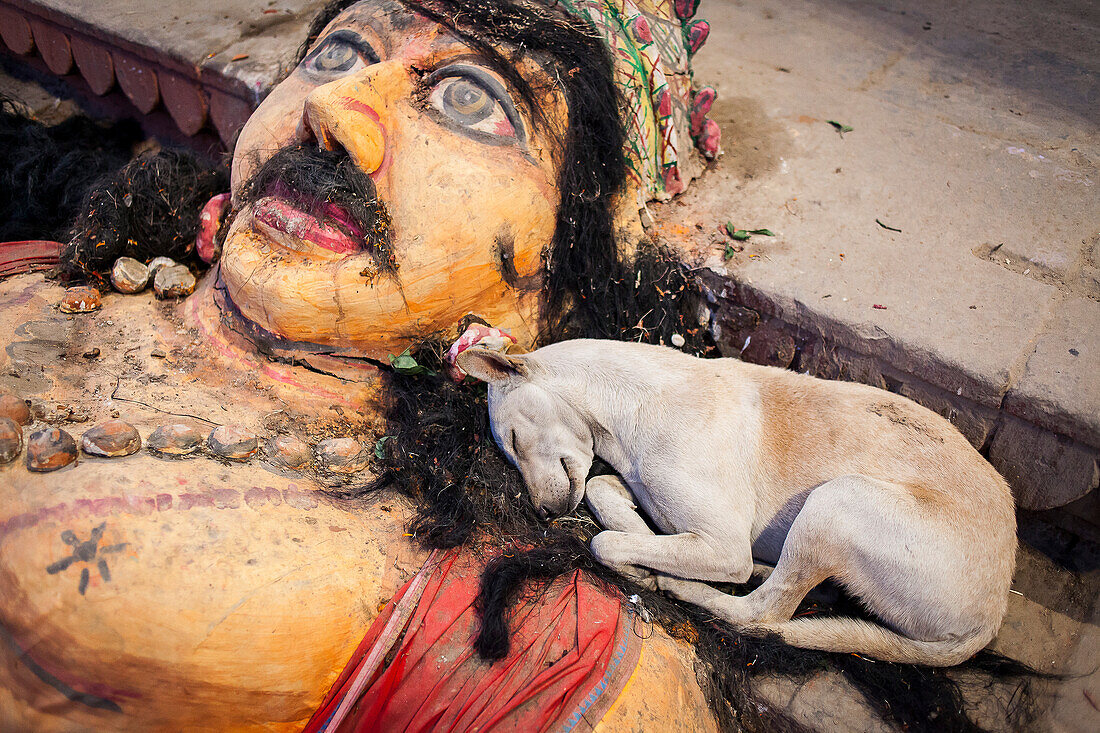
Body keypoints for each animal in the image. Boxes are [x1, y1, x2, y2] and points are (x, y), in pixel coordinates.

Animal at [455, 338, 1012, 664]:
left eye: (513, 440)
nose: (543, 515)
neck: (633, 404)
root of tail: (990, 618)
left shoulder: (724, 543)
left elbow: (605, 543)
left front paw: (647, 565)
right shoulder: (633, 487)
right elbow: (603, 492)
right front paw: (645, 539)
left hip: (837, 502)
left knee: (761, 613)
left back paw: (687, 587)